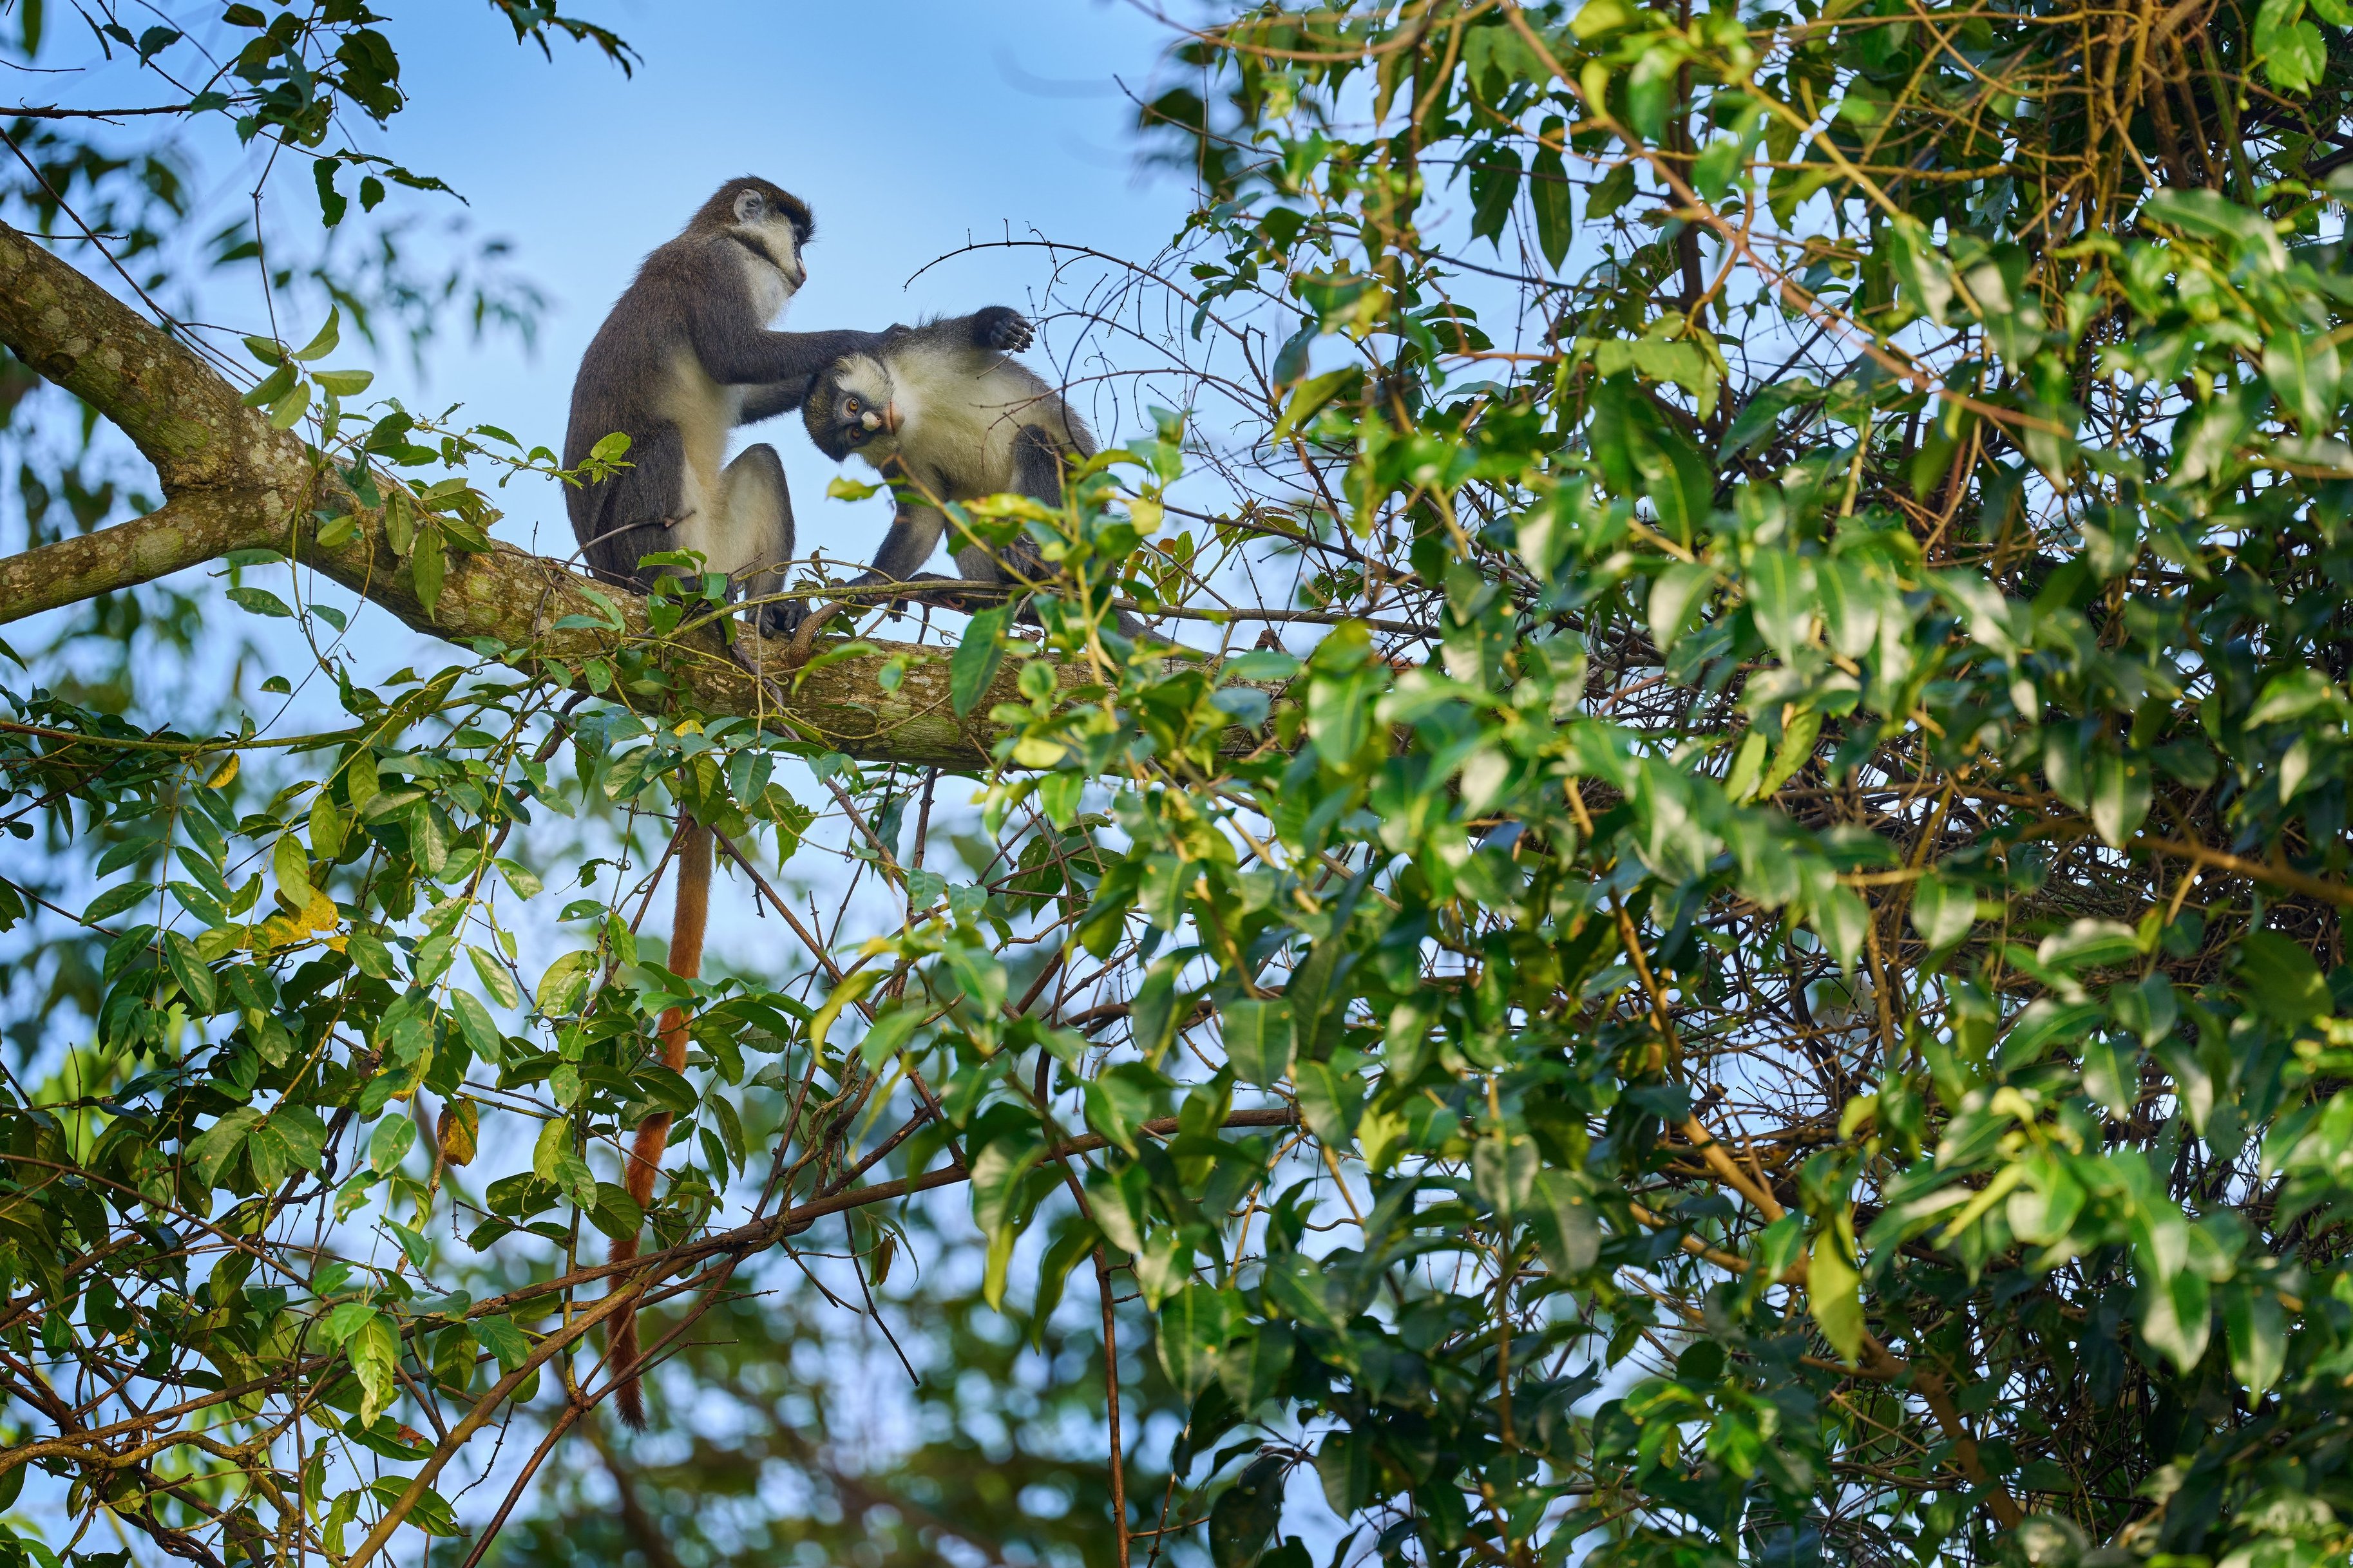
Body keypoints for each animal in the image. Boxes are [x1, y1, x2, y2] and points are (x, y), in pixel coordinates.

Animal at [563, 176, 892, 631]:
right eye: (798, 239)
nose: (803, 269)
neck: (733, 238)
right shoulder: (716, 264)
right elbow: (736, 356)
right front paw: (871, 339)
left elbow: (747, 399)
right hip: (632, 553)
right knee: (664, 444)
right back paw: (663, 587)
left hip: (717, 554)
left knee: (764, 462)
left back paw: (768, 612)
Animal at [795, 306, 1142, 636]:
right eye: (855, 434)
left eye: (853, 406)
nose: (873, 423)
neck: (914, 407)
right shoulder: (898, 458)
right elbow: (924, 520)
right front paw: (872, 582)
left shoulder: (924, 348)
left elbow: (971, 332)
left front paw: (997, 325)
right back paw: (988, 597)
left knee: (1033, 439)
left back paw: (1038, 565)